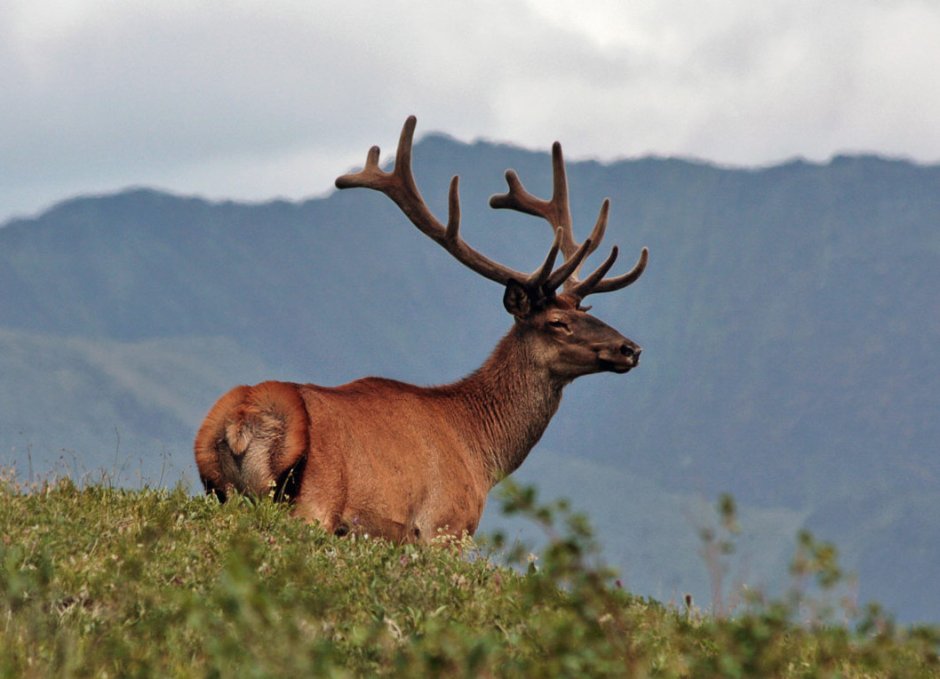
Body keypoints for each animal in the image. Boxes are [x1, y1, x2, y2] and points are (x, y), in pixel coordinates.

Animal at [194, 116, 648, 543]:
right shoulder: (445, 525)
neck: (481, 451)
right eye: (557, 322)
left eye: (584, 310)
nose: (630, 349)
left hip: (219, 491)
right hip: (314, 503)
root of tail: (241, 422)